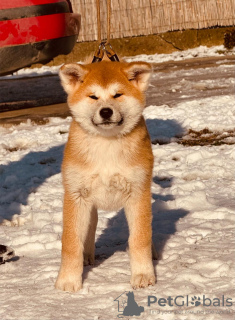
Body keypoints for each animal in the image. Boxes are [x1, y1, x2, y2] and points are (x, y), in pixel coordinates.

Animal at [55, 59, 157, 292]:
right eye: (93, 97)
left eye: (117, 95)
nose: (106, 112)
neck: (106, 144)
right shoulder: (76, 194)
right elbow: (71, 242)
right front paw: (68, 281)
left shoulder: (138, 192)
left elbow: (140, 238)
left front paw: (143, 275)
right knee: (90, 229)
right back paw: (87, 256)